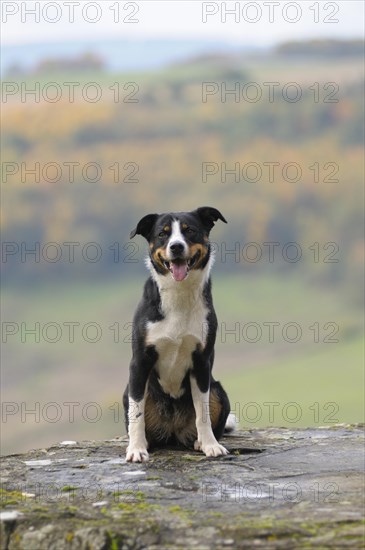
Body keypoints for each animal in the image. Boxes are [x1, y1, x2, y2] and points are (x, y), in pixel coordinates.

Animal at [123, 209, 235, 464]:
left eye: (189, 230)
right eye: (163, 234)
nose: (176, 247)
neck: (179, 295)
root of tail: (172, 431)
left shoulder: (201, 361)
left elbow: (202, 413)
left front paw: (210, 445)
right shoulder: (139, 362)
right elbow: (137, 414)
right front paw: (136, 449)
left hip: (218, 391)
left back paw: (199, 442)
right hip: (129, 389)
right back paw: (145, 442)